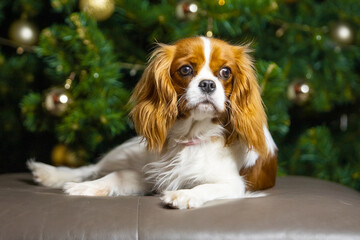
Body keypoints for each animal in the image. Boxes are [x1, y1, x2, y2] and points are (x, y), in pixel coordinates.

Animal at [28, 36, 278, 208]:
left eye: (225, 72)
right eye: (186, 69)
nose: (207, 84)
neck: (190, 136)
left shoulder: (233, 184)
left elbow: (205, 187)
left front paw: (184, 194)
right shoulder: (152, 175)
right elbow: (115, 176)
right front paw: (85, 187)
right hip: (129, 152)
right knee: (94, 168)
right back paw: (52, 174)